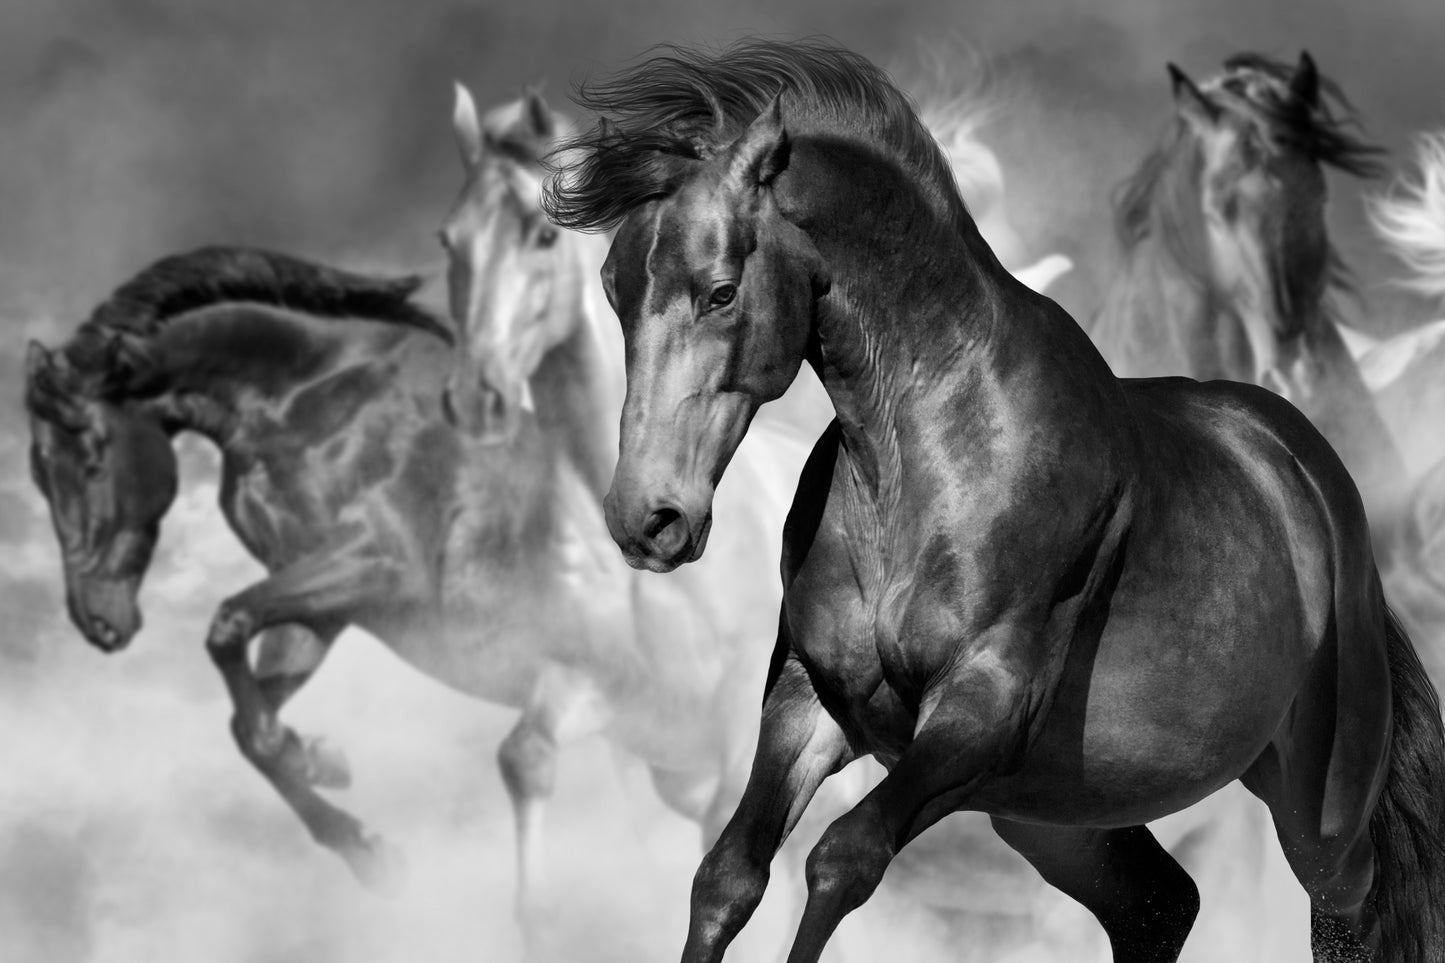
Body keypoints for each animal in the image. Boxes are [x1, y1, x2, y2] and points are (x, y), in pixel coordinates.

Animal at [21, 245, 800, 958]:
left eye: (90, 455)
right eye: (38, 472)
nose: (97, 620)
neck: (311, 400)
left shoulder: (378, 564)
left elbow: (227, 626)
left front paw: (354, 822)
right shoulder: (323, 607)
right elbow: (250, 720)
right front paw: (345, 805)